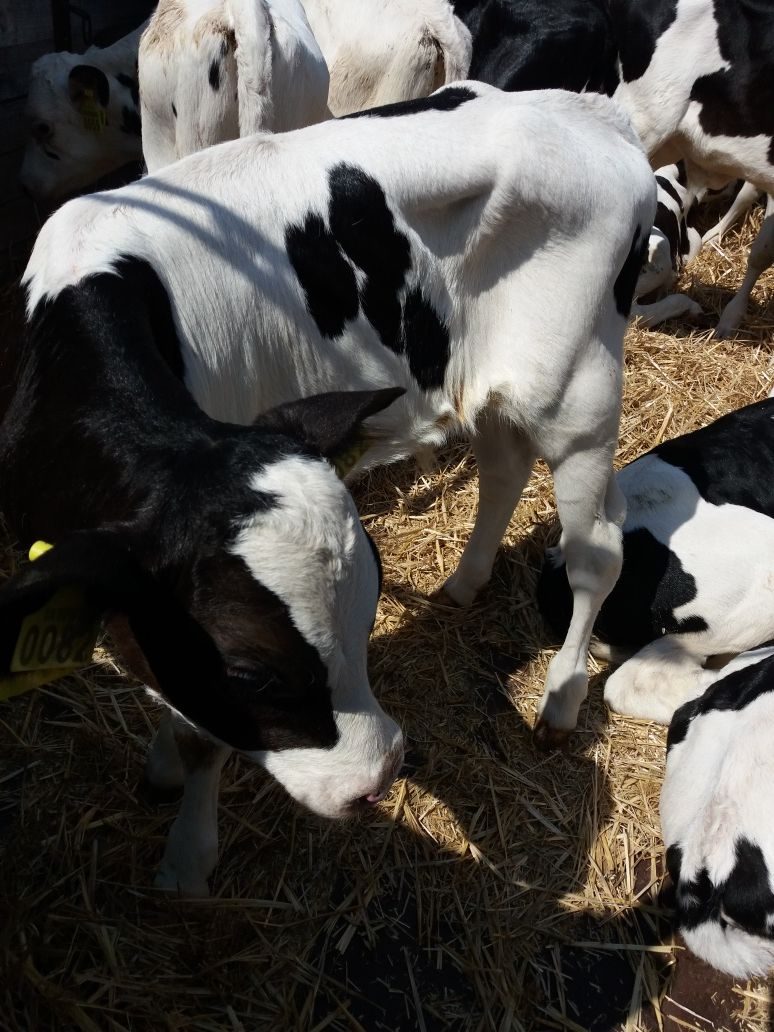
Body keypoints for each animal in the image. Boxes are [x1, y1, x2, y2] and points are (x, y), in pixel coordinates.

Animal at [19, 82, 660, 743]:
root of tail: (591, 114)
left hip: (579, 395)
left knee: (596, 550)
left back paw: (561, 699)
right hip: (493, 387)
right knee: (505, 472)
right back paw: (462, 584)